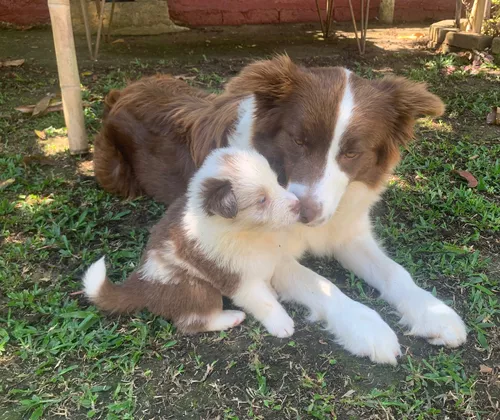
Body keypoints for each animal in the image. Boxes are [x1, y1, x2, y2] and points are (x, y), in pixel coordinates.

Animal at [84, 146, 302, 336]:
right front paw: (282, 324)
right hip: (195, 288)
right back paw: (230, 317)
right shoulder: (237, 278)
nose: (298, 204)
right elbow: (264, 301)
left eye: (277, 181)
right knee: (192, 321)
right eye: (261, 200)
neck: (248, 232)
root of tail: (142, 283)